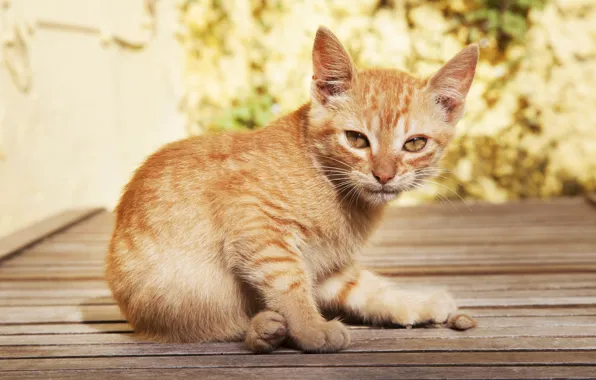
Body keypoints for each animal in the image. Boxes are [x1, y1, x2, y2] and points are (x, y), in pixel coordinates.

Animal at [106, 26, 480, 354]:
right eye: (356, 139)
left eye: (415, 143)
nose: (384, 175)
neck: (329, 182)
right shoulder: (256, 223)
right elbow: (288, 281)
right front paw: (311, 328)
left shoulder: (326, 265)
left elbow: (364, 287)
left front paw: (414, 302)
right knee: (213, 325)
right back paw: (263, 330)